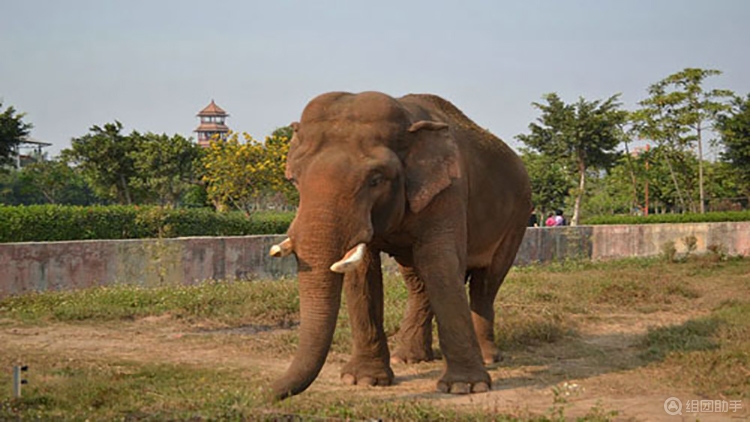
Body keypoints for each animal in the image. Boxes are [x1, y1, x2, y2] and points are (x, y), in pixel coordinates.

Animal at [270, 91, 536, 398]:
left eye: (375, 180)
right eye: (294, 180)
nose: (266, 391)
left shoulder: (449, 190)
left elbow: (441, 262)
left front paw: (465, 386)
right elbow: (363, 273)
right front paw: (362, 380)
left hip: (519, 215)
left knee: (486, 281)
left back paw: (488, 358)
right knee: (418, 280)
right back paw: (409, 358)